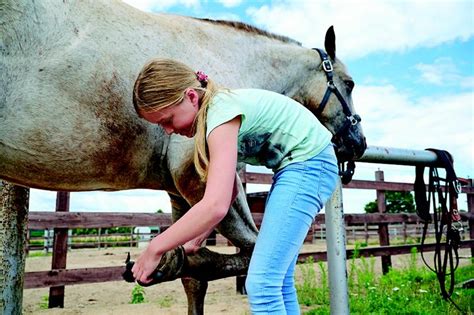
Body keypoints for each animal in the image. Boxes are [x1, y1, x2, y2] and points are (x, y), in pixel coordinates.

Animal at [0, 1, 366, 314]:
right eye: (349, 83)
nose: (358, 143)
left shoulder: (178, 190)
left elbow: (195, 279)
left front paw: (175, 262)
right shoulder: (200, 180)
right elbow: (252, 251)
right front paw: (175, 262)